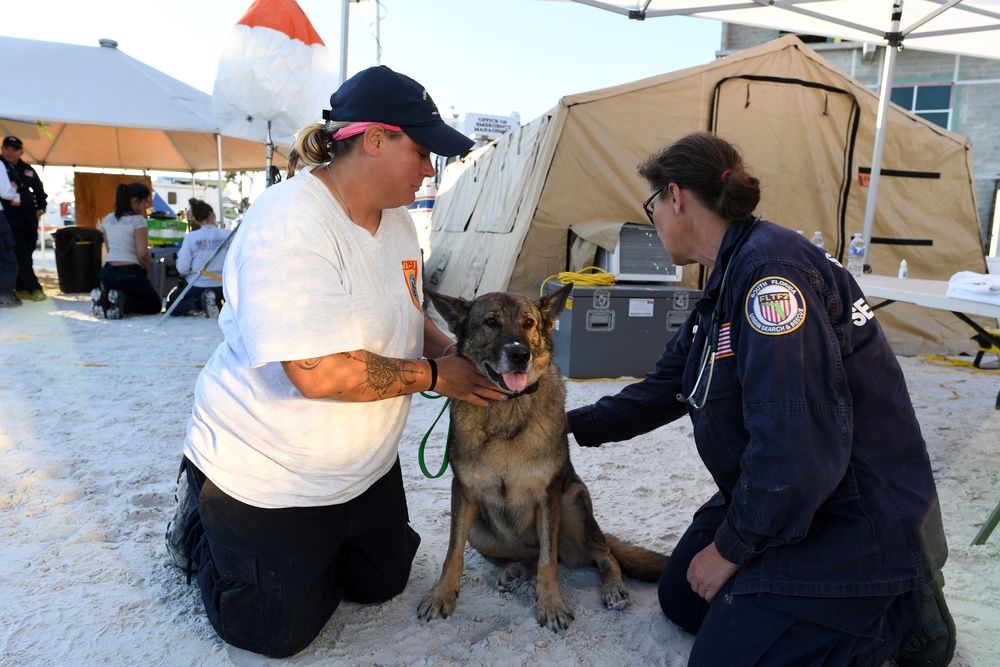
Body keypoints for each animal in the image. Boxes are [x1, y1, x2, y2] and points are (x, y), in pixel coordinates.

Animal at [418, 286, 668, 632]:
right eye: (491, 322)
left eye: (529, 323)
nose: (520, 355)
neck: (508, 409)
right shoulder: (464, 493)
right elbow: (452, 553)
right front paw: (442, 594)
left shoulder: (548, 495)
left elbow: (549, 562)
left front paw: (551, 604)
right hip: (480, 531)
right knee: (526, 556)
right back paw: (513, 572)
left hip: (572, 502)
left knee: (602, 554)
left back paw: (614, 587)